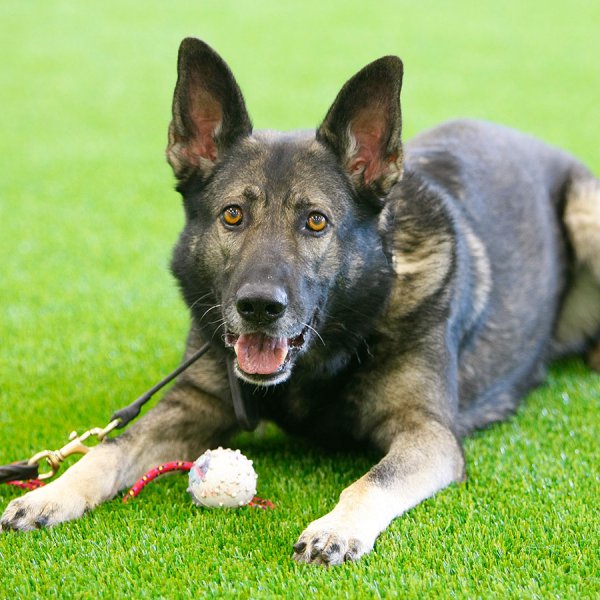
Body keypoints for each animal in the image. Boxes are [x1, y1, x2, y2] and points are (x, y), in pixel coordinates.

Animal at [1, 38, 600, 568]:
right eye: (233, 215)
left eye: (315, 221)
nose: (259, 307)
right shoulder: (194, 403)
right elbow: (110, 448)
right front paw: (50, 492)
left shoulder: (428, 433)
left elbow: (372, 480)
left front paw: (335, 529)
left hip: (585, 213)